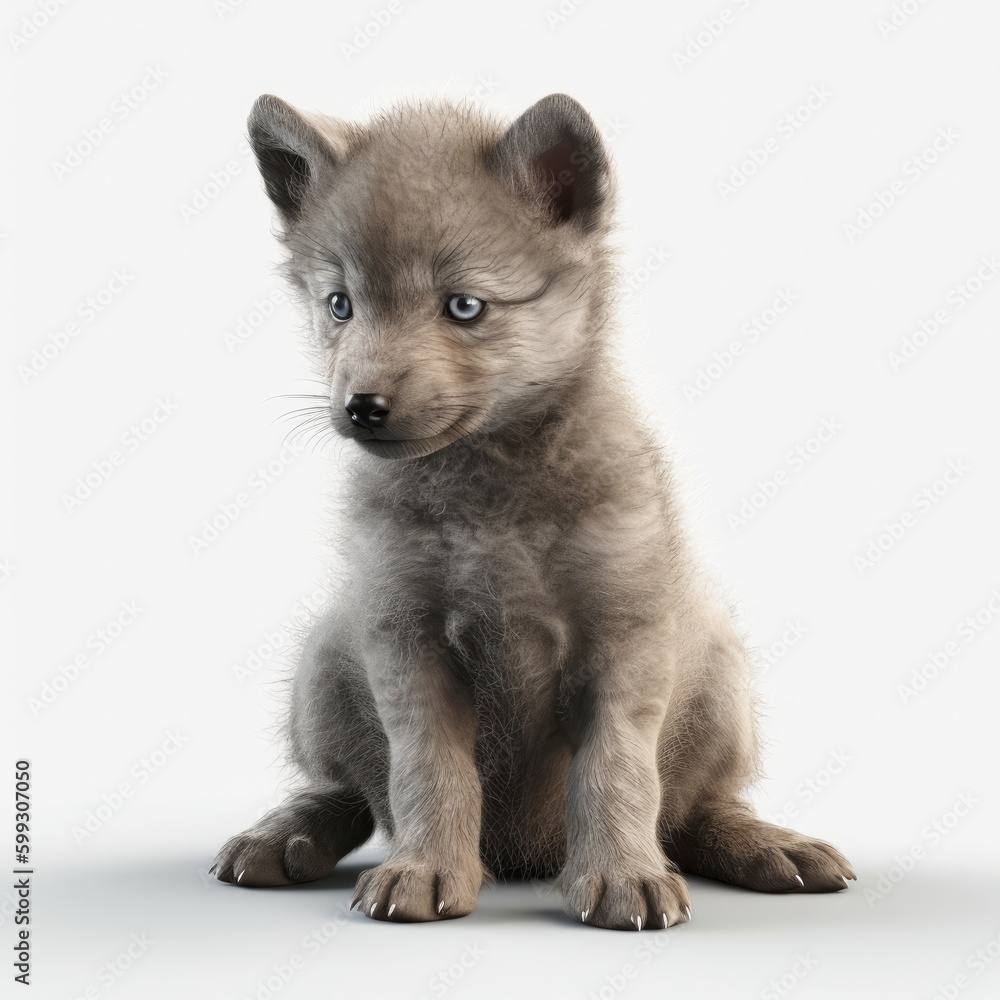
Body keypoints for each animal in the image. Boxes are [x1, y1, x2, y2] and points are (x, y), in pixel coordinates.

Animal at [213, 92, 855, 930]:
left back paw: (768, 845)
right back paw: (283, 834)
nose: (361, 407)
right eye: (340, 306)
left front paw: (621, 877)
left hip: (720, 671)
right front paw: (426, 870)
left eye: (464, 306)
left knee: (694, 808)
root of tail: (525, 857)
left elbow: (618, 772)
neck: (492, 505)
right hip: (323, 658)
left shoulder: (626, 637)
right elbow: (428, 770)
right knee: (346, 792)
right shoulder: (403, 638)